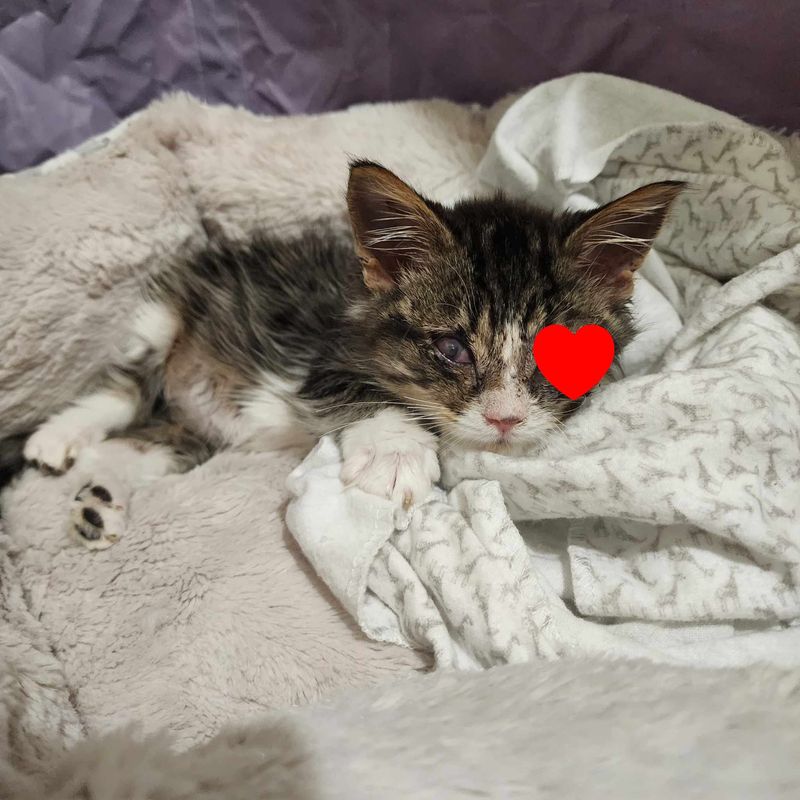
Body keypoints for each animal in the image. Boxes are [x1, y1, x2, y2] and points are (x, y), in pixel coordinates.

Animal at [21, 162, 680, 552]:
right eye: (451, 349)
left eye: (558, 356)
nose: (505, 419)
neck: (362, 304)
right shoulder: (325, 354)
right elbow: (365, 391)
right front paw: (395, 454)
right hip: (164, 309)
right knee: (123, 389)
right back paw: (57, 437)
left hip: (192, 435)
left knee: (138, 445)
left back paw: (99, 503)